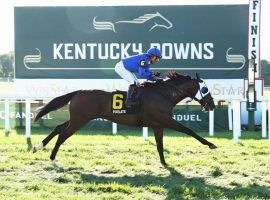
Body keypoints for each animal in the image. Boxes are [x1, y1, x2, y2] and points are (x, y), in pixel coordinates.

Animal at [32, 72, 216, 166]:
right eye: (205, 89)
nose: (212, 105)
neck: (163, 94)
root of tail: (79, 92)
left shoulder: (158, 125)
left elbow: (160, 145)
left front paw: (165, 164)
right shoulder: (166, 120)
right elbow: (188, 130)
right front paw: (211, 144)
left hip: (78, 118)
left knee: (58, 128)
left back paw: (37, 146)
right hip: (80, 120)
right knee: (63, 135)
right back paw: (52, 159)